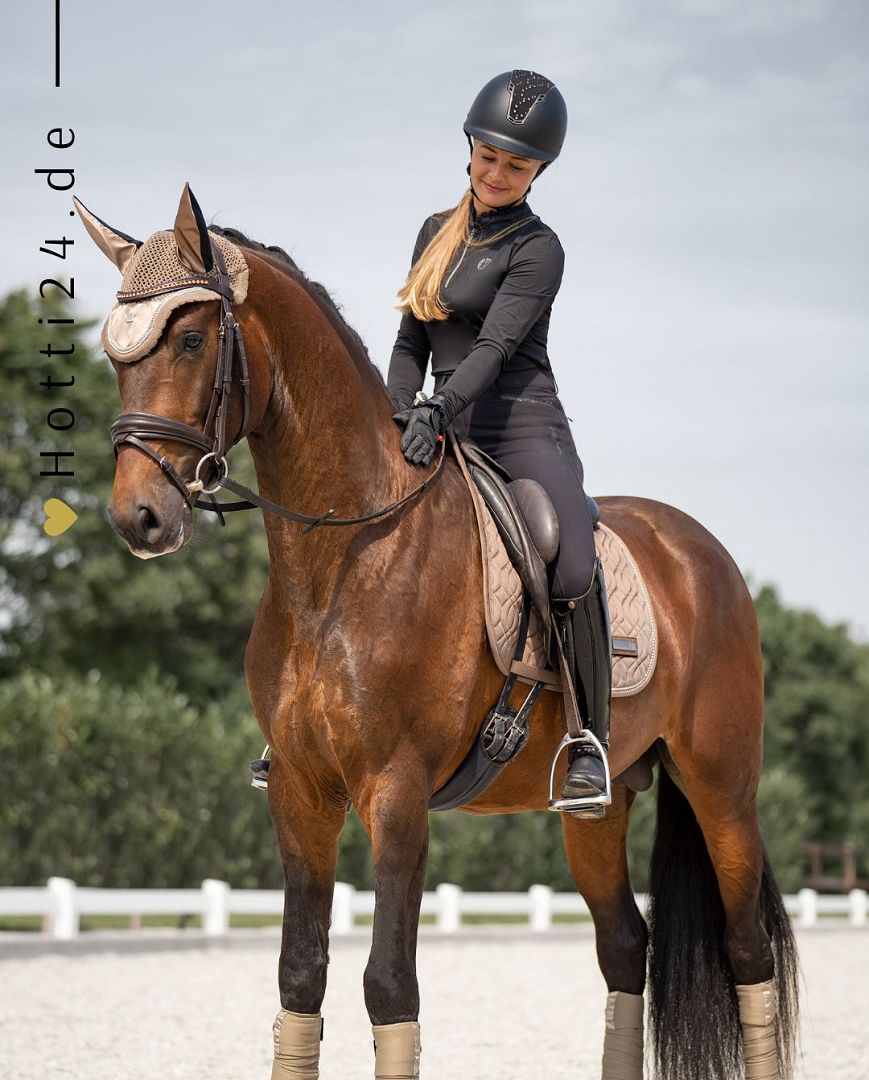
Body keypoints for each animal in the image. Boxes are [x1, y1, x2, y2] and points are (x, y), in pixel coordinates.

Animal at [77, 187, 798, 1080]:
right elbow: (299, 977)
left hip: (722, 787)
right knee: (623, 944)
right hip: (597, 808)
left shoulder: (396, 792)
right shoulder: (299, 794)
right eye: (116, 354)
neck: (341, 560)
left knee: (745, 951)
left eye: (188, 338)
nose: (138, 518)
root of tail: (702, 551)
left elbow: (389, 987)